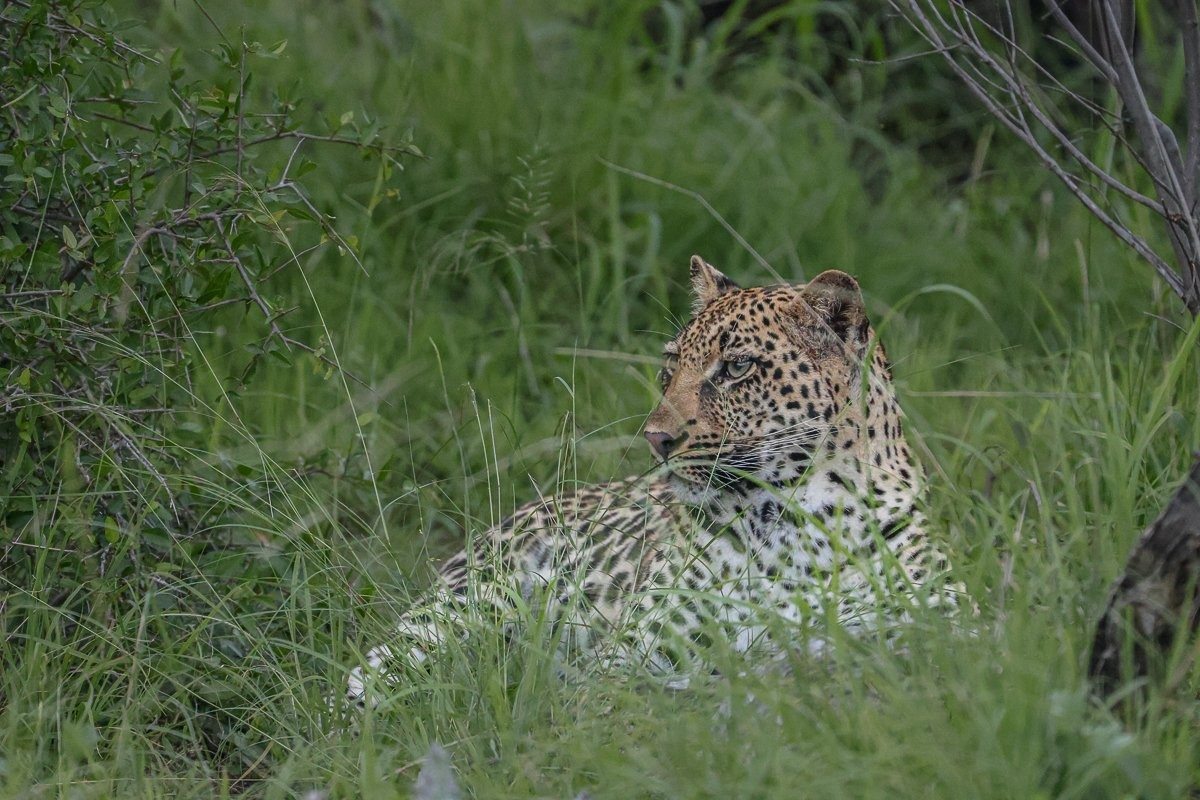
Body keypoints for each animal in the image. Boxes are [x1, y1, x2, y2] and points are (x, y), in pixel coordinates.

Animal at [347, 255, 956, 705]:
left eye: (737, 367)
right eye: (670, 366)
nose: (656, 439)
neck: (795, 519)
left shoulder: (946, 626)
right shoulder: (635, 652)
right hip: (457, 610)